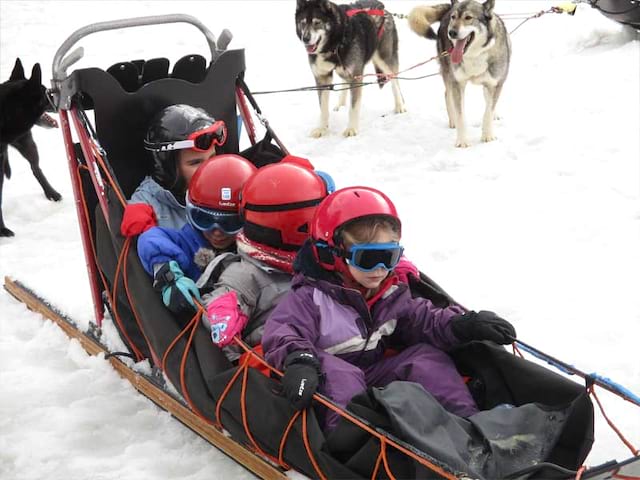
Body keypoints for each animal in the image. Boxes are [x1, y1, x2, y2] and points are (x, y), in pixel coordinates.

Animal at [296, 0, 404, 137]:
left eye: (317, 22)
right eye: (303, 23)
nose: (305, 38)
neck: (335, 44)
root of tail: (382, 7)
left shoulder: (355, 76)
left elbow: (353, 107)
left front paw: (351, 128)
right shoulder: (322, 77)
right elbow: (323, 108)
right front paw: (322, 128)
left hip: (384, 60)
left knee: (394, 80)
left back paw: (400, 105)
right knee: (344, 82)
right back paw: (340, 105)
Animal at [410, 0, 510, 147]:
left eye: (468, 17)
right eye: (454, 17)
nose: (451, 32)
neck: (474, 55)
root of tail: (448, 7)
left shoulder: (495, 84)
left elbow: (488, 111)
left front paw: (487, 136)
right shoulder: (458, 83)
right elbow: (461, 115)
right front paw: (462, 141)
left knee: (487, 98)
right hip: (448, 74)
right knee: (447, 95)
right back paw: (453, 121)